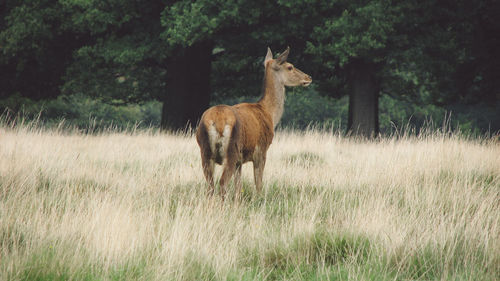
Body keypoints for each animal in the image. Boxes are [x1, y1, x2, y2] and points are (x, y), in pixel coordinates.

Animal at [196, 46, 310, 199]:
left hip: (205, 152)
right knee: (222, 183)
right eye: (290, 67)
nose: (308, 77)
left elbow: (238, 187)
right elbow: (258, 184)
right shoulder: (261, 151)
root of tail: (217, 121)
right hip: (231, 150)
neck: (269, 113)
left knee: (210, 186)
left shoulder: (239, 161)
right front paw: (259, 199)